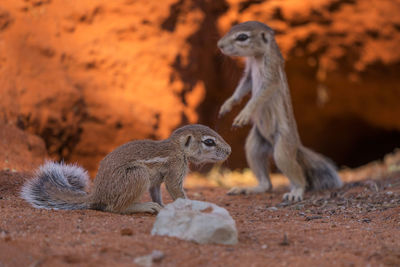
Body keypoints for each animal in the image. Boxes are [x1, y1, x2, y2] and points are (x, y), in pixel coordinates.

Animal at [20, 124, 230, 215]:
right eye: (209, 142)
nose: (230, 150)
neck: (177, 147)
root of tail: (96, 194)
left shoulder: (156, 182)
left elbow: (157, 193)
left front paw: (164, 206)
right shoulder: (175, 170)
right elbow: (177, 191)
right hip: (138, 174)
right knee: (115, 208)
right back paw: (145, 207)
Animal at [217, 21, 342, 202]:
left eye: (242, 37)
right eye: (231, 28)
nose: (219, 45)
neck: (257, 57)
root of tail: (296, 148)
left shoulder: (271, 75)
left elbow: (258, 97)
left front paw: (243, 114)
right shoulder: (249, 75)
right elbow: (242, 88)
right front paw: (227, 105)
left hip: (282, 149)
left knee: (299, 177)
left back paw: (296, 192)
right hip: (254, 146)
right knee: (266, 183)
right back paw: (248, 188)